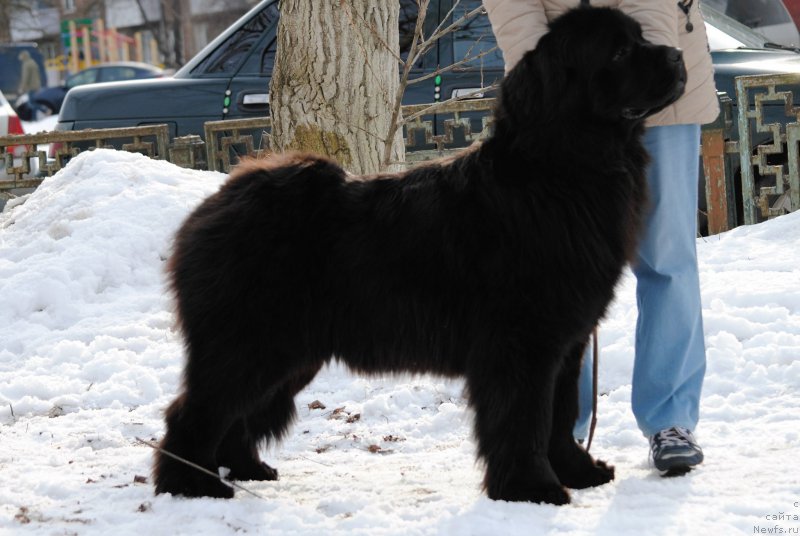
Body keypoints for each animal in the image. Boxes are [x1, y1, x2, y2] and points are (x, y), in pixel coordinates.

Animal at [156, 6, 688, 504]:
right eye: (619, 52)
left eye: (640, 38)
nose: (679, 56)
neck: (559, 172)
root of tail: (215, 203)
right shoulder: (521, 345)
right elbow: (524, 420)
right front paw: (532, 488)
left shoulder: (566, 344)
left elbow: (560, 415)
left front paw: (578, 472)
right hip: (247, 344)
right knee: (195, 412)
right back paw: (192, 485)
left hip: (286, 353)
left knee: (236, 417)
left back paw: (245, 469)